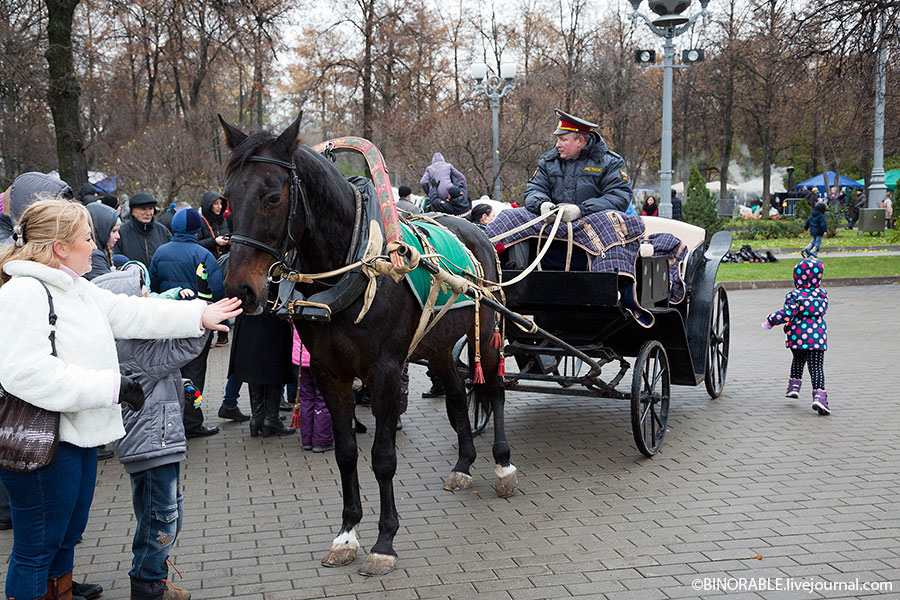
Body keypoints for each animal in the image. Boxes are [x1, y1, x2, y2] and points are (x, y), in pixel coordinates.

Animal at [216, 113, 520, 576]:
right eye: (228, 198)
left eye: (271, 196)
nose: (241, 291)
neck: (356, 263)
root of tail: (477, 230)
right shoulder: (330, 373)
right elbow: (345, 453)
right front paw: (347, 534)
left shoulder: (386, 372)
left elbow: (382, 457)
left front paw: (384, 541)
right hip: (437, 346)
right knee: (455, 395)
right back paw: (464, 462)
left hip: (486, 332)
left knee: (496, 389)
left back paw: (502, 465)